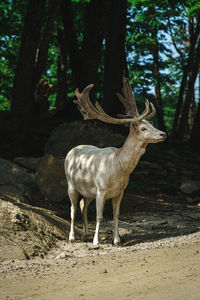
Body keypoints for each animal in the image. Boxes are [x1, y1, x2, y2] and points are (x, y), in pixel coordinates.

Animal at [64, 78, 167, 246]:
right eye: (143, 128)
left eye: (151, 124)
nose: (163, 134)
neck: (118, 169)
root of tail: (71, 150)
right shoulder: (101, 189)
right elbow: (99, 216)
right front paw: (96, 241)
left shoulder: (120, 191)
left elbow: (116, 215)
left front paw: (117, 240)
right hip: (71, 184)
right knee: (72, 208)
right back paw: (72, 237)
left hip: (88, 191)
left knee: (82, 205)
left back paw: (85, 234)